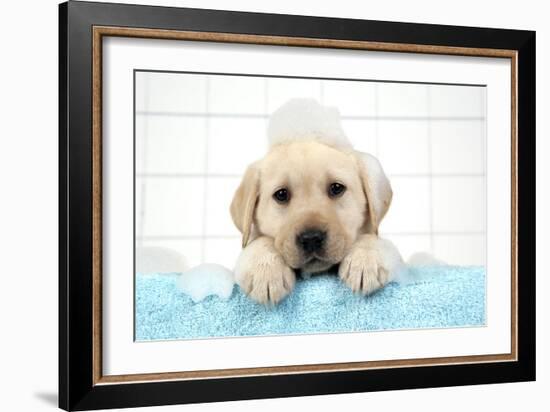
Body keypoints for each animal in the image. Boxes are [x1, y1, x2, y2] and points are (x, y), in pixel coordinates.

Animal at [231, 101, 404, 304]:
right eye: (281, 194)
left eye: (336, 188)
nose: (311, 238)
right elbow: (259, 241)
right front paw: (265, 270)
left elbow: (373, 238)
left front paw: (366, 259)